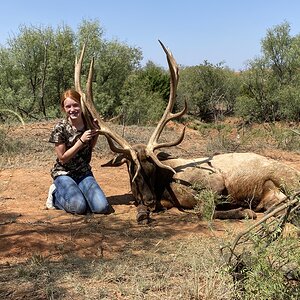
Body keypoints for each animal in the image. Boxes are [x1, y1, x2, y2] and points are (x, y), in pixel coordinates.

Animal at [74, 40, 300, 223]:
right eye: (132, 168)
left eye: (152, 168)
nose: (149, 200)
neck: (162, 187)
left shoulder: (214, 182)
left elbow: (205, 210)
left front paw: (244, 210)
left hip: (286, 181)